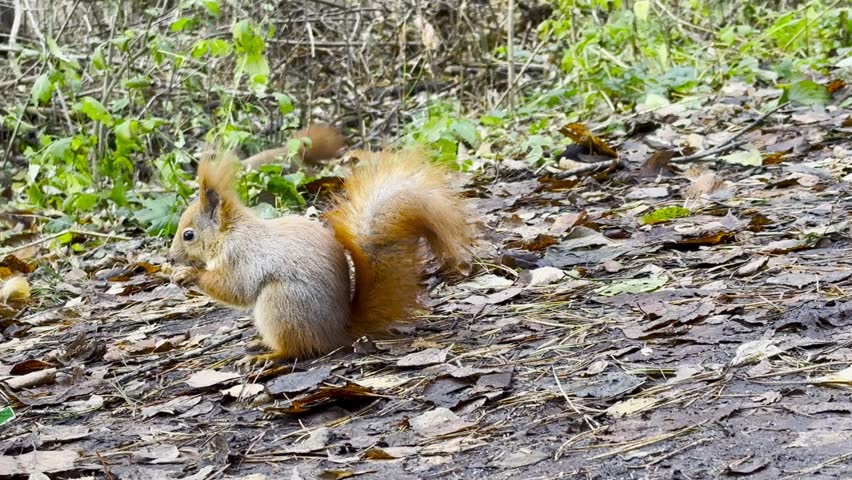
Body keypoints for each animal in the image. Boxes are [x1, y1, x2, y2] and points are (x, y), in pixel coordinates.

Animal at [168, 131, 475, 363]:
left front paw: (189, 275)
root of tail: (337, 332)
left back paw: (267, 356)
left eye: (188, 235)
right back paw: (260, 345)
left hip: (280, 305)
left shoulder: (241, 256)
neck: (229, 234)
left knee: (296, 349)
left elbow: (234, 288)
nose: (170, 259)